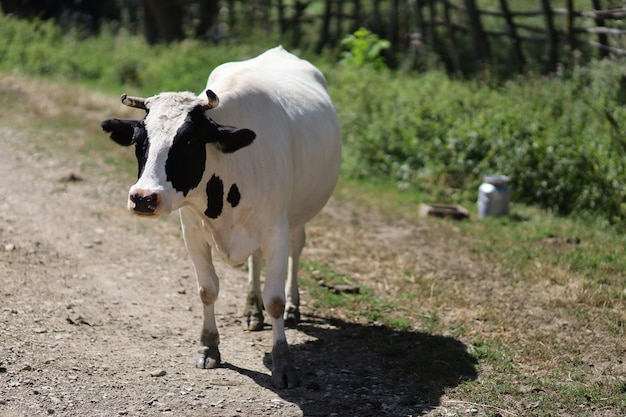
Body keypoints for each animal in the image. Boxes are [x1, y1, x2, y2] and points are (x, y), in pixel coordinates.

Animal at [100, 46, 342, 386]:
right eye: (139, 141)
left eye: (189, 141)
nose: (144, 198)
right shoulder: (192, 232)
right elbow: (207, 290)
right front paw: (208, 347)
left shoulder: (276, 231)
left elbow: (275, 300)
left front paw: (283, 363)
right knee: (255, 262)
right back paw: (251, 310)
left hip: (300, 215)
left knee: (297, 250)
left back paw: (293, 305)